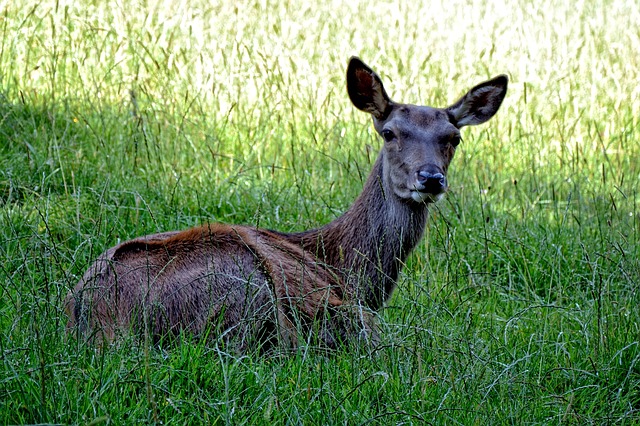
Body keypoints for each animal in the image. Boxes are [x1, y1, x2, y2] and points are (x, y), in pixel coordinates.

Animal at [65, 57, 504, 352]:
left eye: (453, 138)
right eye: (390, 133)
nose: (430, 178)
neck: (343, 264)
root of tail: (97, 319)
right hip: (245, 285)